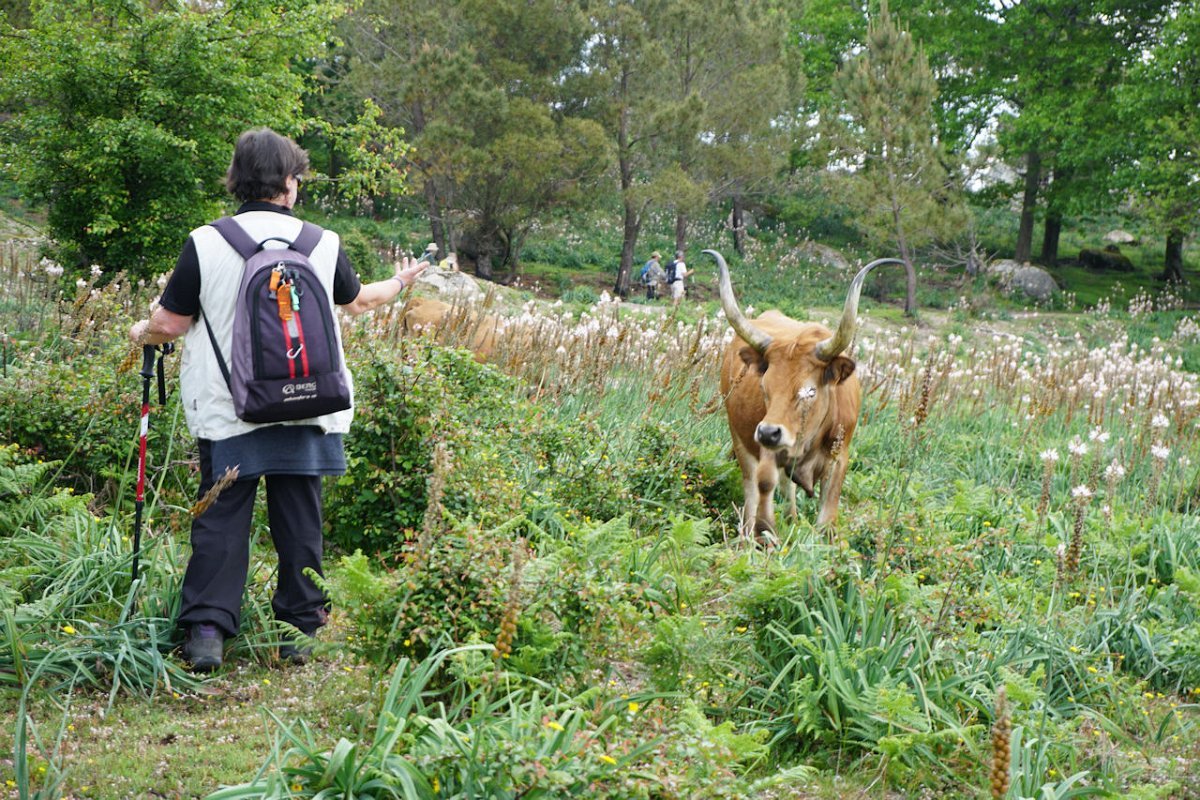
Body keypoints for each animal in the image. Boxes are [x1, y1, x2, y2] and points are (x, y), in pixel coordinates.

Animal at [704, 249, 903, 538]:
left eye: (810, 390)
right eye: (764, 387)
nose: (769, 432)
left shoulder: (839, 458)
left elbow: (827, 514)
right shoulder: (765, 449)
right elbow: (765, 485)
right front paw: (766, 534)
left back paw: (792, 517)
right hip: (741, 437)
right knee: (754, 486)